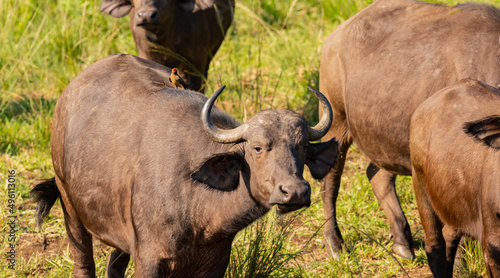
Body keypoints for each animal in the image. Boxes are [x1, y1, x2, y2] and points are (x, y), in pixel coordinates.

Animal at [30, 54, 336, 278]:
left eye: (303, 146)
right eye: (257, 148)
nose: (295, 192)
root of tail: (67, 95)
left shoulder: (214, 264)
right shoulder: (150, 260)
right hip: (70, 207)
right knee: (83, 260)